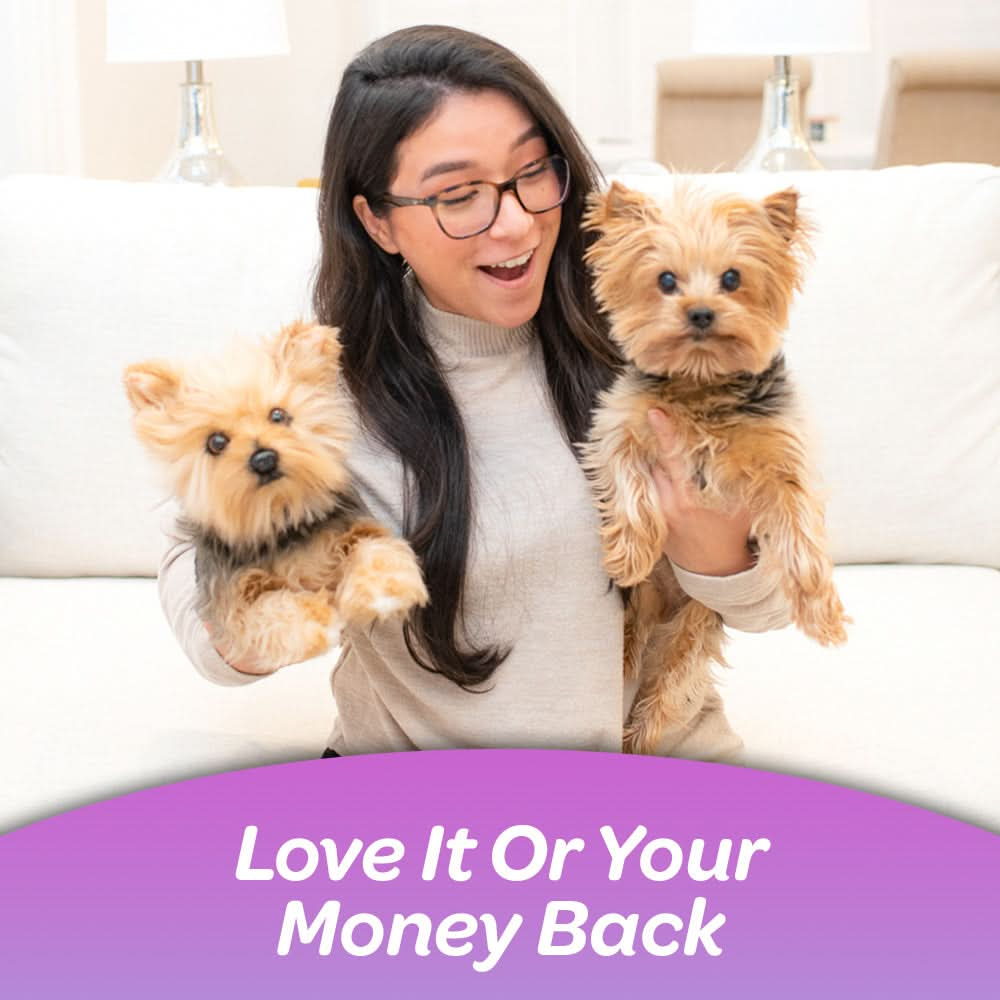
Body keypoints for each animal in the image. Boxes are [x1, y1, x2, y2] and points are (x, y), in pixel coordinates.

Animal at [123, 320, 428, 672]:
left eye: (278, 415)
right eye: (216, 442)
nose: (263, 459)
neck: (282, 516)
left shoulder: (353, 528)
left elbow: (374, 549)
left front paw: (383, 588)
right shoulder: (234, 595)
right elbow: (270, 609)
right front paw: (317, 622)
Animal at [584, 182, 848, 756]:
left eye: (732, 278)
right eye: (665, 280)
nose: (701, 313)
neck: (701, 381)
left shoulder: (783, 456)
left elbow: (801, 537)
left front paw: (824, 616)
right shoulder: (620, 426)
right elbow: (628, 484)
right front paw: (630, 555)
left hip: (695, 626)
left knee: (672, 679)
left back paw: (640, 733)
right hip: (641, 610)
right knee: (630, 645)